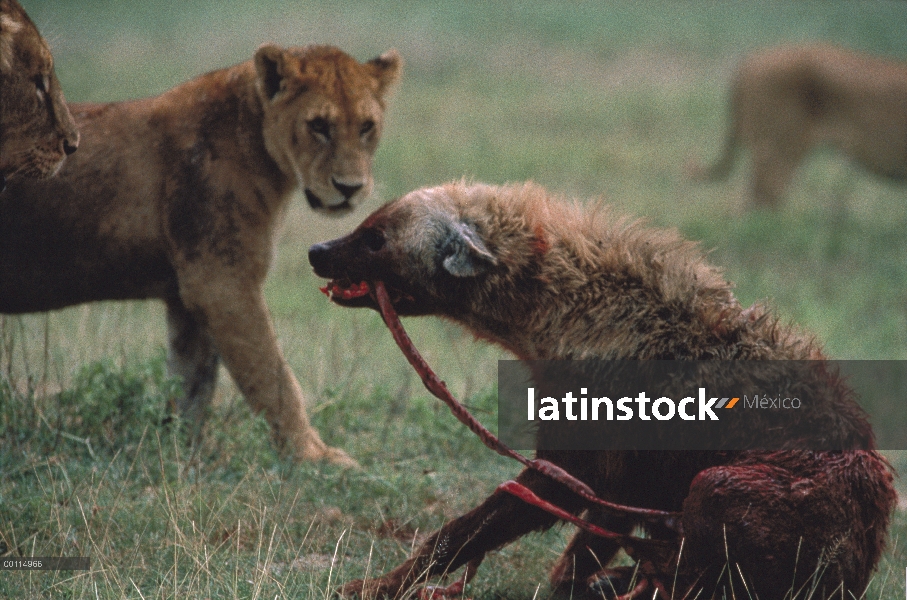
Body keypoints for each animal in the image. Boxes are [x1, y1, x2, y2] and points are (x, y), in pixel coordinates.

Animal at [0, 43, 400, 464]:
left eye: (366, 126)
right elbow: (272, 375)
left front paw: (180, 451)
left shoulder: (189, 291)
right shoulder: (221, 282)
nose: (350, 187)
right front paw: (313, 456)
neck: (255, 137)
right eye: (319, 126)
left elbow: (192, 383)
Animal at [310, 183, 892, 600]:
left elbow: (484, 521)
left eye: (376, 238)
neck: (561, 316)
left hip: (732, 485)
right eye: (366, 223)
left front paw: (370, 586)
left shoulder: (593, 449)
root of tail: (864, 552)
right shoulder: (622, 474)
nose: (317, 249)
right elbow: (584, 537)